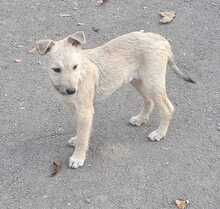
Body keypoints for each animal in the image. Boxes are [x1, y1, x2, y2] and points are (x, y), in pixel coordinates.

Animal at [35, 30, 195, 168]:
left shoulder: (85, 111)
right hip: (138, 80)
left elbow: (83, 135)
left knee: (167, 108)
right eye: (56, 69)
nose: (71, 91)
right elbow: (79, 128)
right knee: (149, 100)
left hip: (152, 82)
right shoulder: (73, 108)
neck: (80, 75)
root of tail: (160, 39)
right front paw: (77, 138)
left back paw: (159, 133)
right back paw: (141, 119)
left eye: (75, 66)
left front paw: (78, 157)